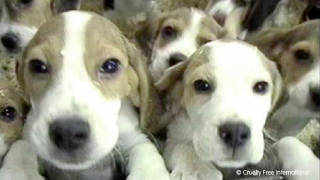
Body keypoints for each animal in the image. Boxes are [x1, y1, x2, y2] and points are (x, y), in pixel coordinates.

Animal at [17, 10, 171, 180]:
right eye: (38, 66)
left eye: (110, 65)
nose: (68, 132)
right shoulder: (29, 136)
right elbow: (21, 149)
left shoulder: (134, 139)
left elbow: (146, 157)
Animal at [156, 40, 284, 180]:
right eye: (202, 85)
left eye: (261, 86)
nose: (235, 132)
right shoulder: (172, 138)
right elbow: (184, 145)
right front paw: (197, 169)